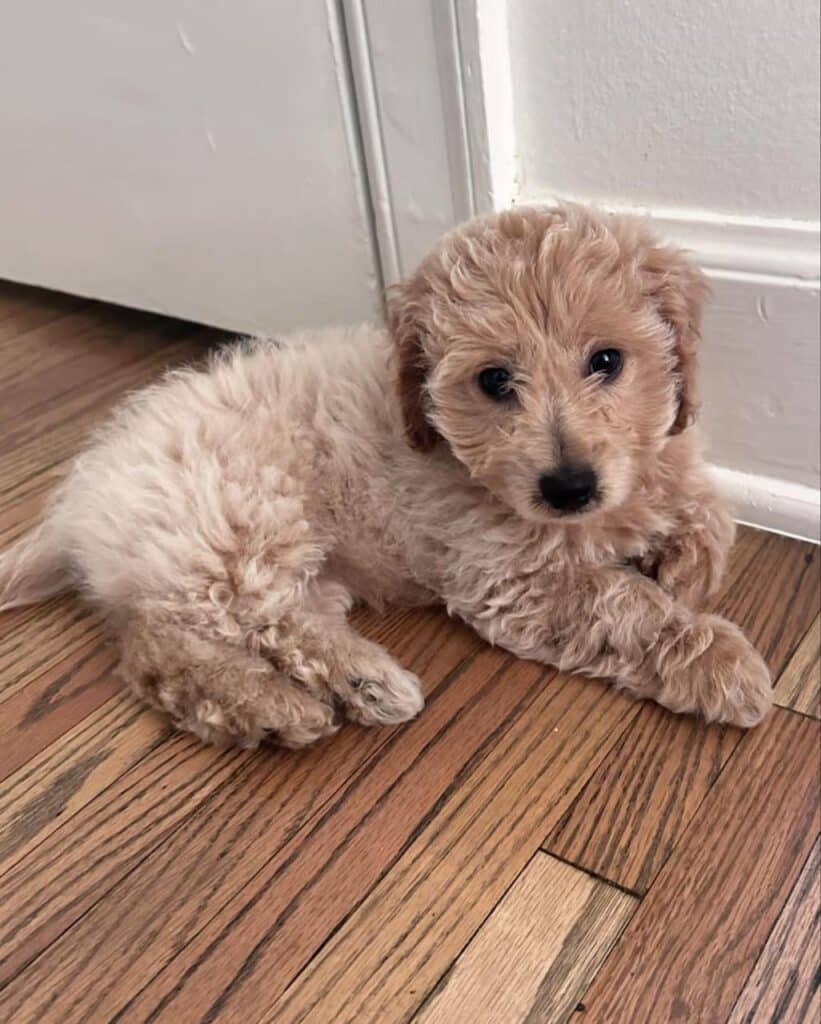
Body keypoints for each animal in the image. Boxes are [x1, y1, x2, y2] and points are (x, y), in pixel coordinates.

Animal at [0, 203, 769, 745]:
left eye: (607, 360)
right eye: (494, 381)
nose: (568, 486)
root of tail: (86, 488)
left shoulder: (662, 457)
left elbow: (708, 507)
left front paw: (687, 562)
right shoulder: (511, 581)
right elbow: (626, 607)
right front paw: (721, 662)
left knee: (180, 636)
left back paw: (320, 691)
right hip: (240, 517)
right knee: (205, 632)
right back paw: (314, 693)